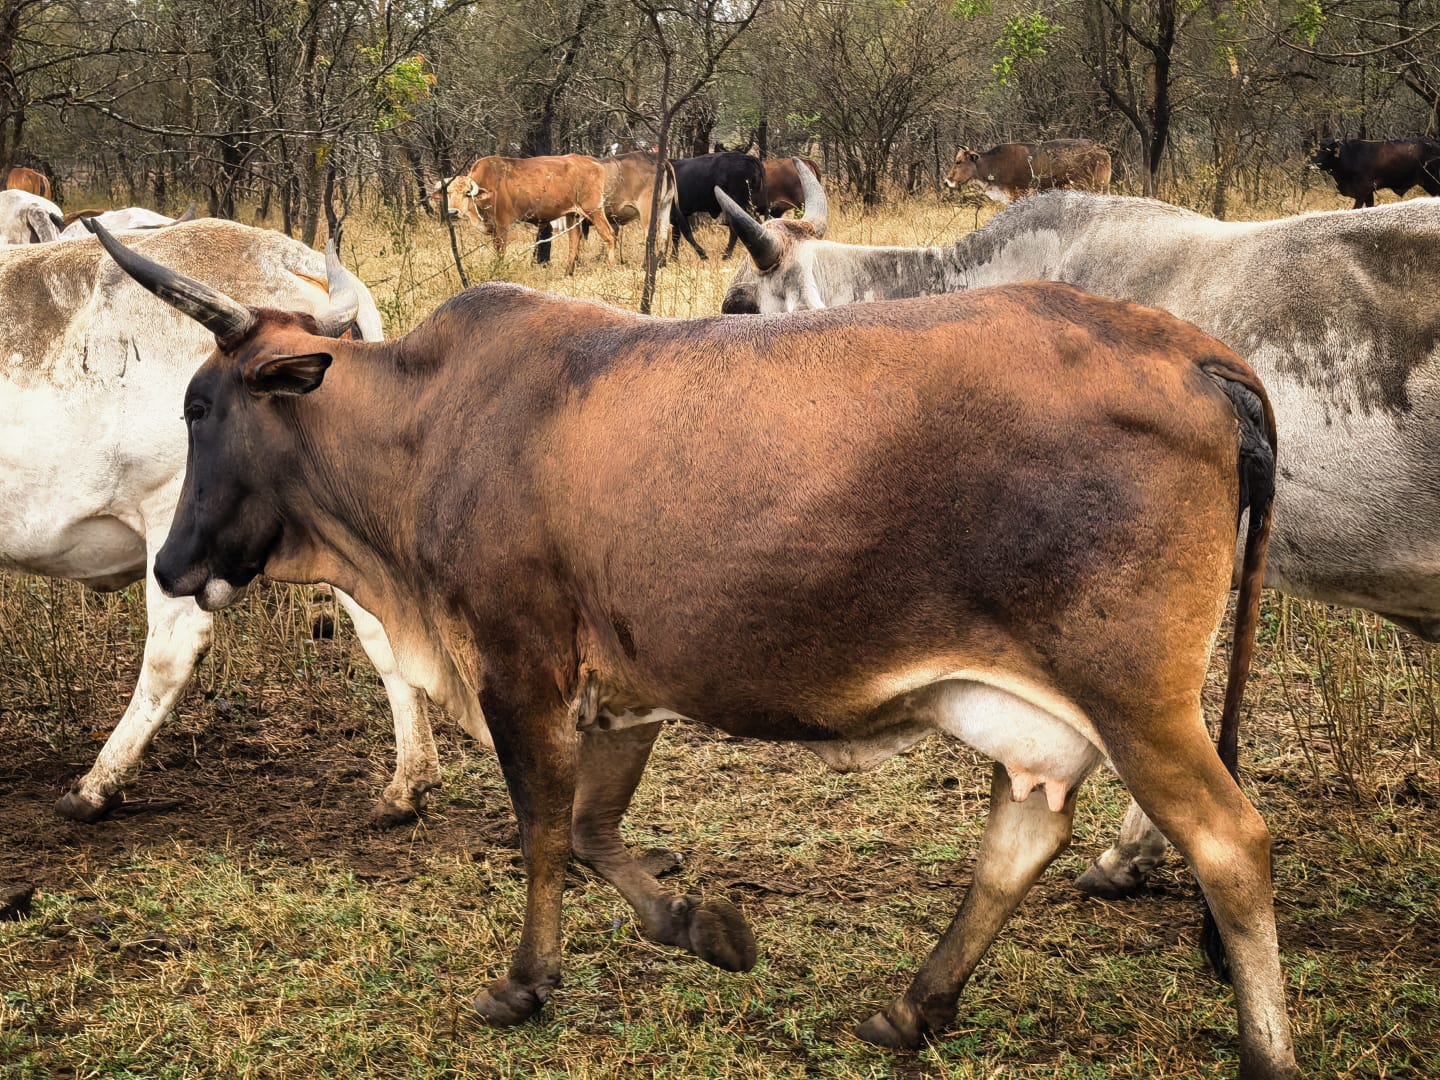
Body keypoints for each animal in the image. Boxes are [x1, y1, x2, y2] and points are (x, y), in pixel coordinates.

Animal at [0, 220, 456, 825]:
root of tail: (291, 259)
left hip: (175, 521)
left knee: (173, 649)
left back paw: (97, 785)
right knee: (382, 629)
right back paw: (409, 783)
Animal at [95, 219, 1299, 1078]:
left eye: (200, 406)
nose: (173, 564)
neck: (428, 426)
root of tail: (1194, 352)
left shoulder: (521, 665)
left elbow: (543, 831)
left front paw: (525, 982)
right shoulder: (623, 688)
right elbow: (593, 834)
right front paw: (703, 924)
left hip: (1138, 697)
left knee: (1232, 842)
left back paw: (1264, 1052)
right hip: (1046, 709)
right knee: (1025, 835)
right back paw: (911, 1010)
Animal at [430, 154, 617, 274]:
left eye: (467, 193)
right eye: (448, 193)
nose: (453, 212)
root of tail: (592, 161)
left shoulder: (502, 226)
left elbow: (500, 253)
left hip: (594, 209)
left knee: (609, 235)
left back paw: (610, 268)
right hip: (572, 214)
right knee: (574, 240)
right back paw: (568, 272)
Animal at [1309, 137, 1440, 208]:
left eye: (1327, 151)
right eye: (1318, 150)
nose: (1313, 164)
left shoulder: (1363, 190)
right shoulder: (1368, 193)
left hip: (1433, 181)